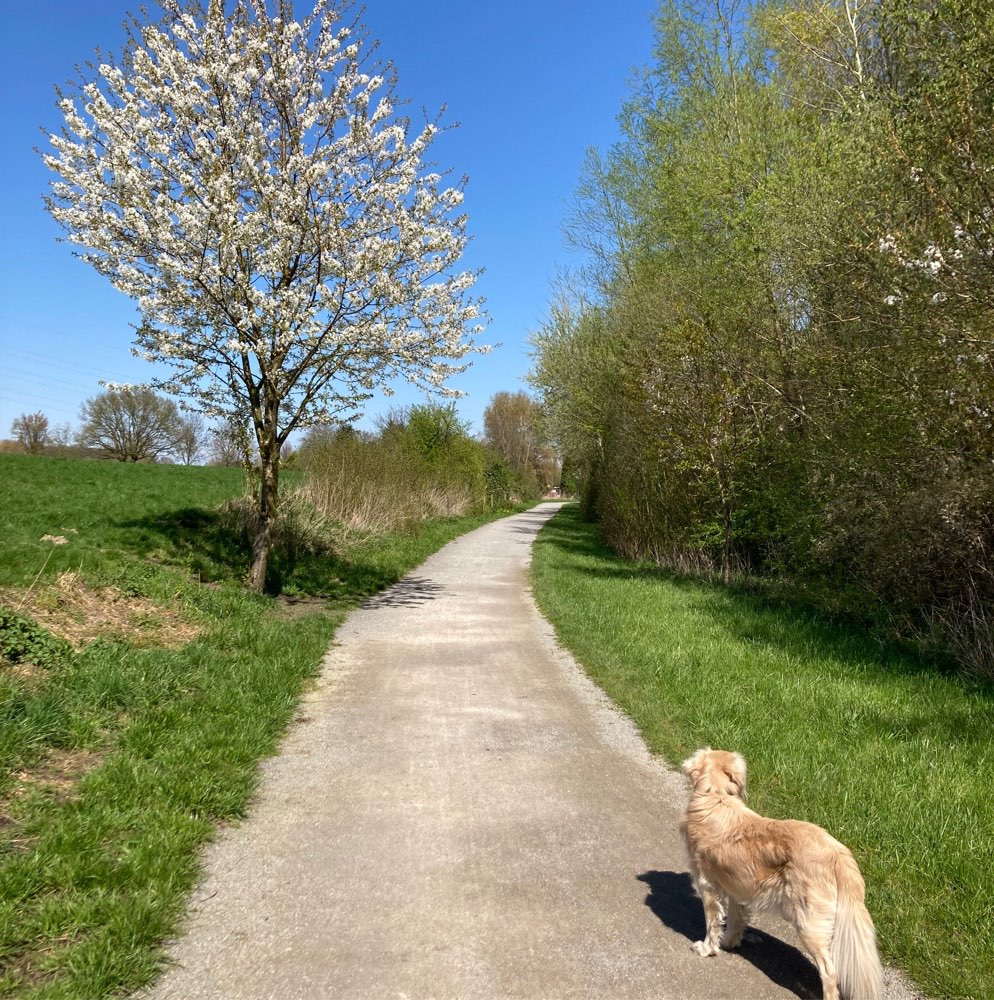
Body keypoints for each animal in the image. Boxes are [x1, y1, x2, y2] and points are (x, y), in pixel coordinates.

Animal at [680, 752, 880, 1000]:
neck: (715, 797)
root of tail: (837, 853)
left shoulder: (707, 884)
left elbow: (712, 922)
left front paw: (707, 948)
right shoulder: (737, 888)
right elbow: (735, 920)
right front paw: (729, 942)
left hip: (808, 922)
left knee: (829, 971)